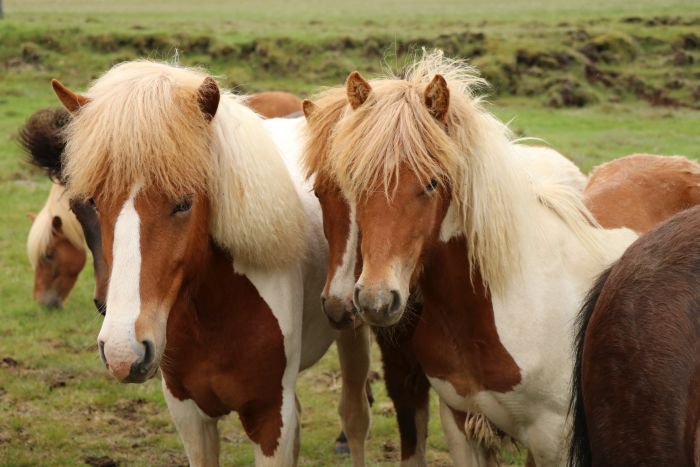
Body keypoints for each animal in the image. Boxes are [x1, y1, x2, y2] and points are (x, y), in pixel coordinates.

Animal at [34, 60, 374, 466]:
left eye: (184, 202)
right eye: (87, 203)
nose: (122, 351)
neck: (213, 310)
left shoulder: (271, 418)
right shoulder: (189, 416)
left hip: (350, 325)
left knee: (355, 416)